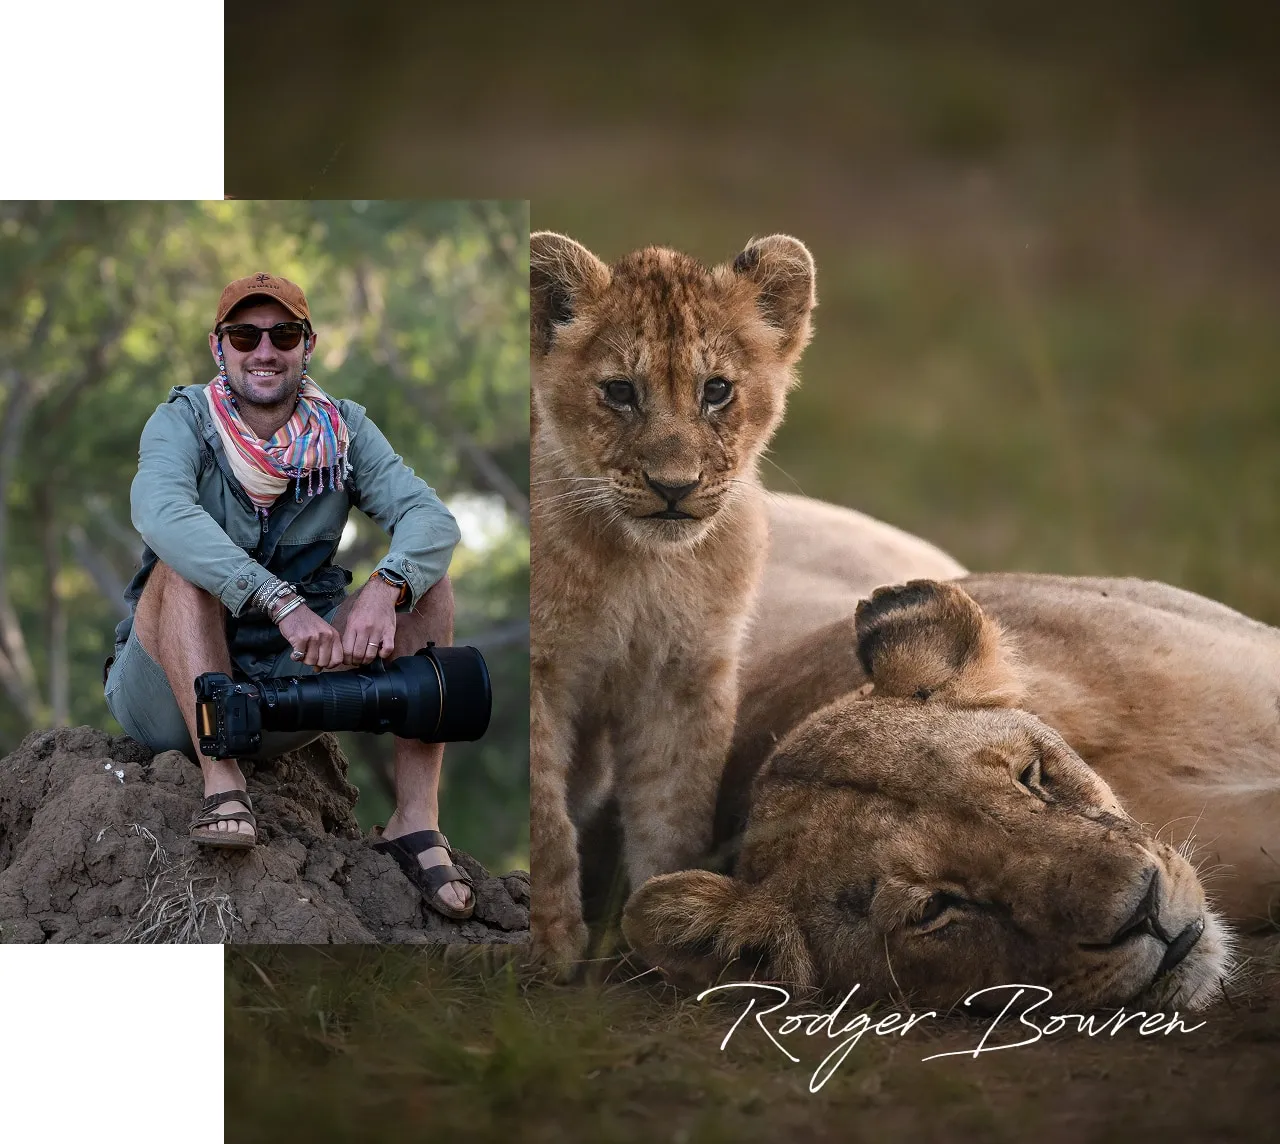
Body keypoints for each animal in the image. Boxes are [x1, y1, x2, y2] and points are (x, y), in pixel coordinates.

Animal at [529, 231, 821, 968]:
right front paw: (547, 942)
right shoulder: (540, 673)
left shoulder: (684, 675)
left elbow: (674, 810)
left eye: (716, 391)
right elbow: (543, 814)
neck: (642, 566)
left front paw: (662, 929)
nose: (673, 486)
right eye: (619, 392)